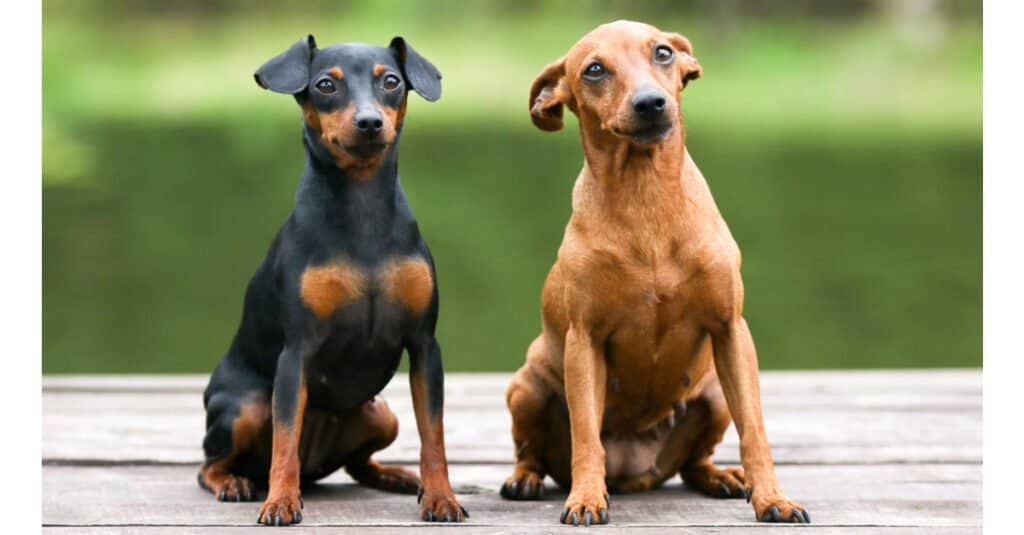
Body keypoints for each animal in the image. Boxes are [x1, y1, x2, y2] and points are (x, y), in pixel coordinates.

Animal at [196, 34, 468, 524]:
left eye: (391, 82)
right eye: (326, 85)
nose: (369, 122)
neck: (363, 210)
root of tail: (316, 466)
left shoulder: (424, 347)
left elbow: (433, 436)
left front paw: (441, 497)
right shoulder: (296, 354)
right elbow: (285, 440)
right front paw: (280, 502)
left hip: (381, 413)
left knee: (359, 464)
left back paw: (396, 476)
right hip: (245, 407)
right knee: (212, 463)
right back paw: (235, 482)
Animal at [499, 21, 811, 524]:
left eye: (663, 53)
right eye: (594, 70)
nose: (650, 102)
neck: (645, 194)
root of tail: (635, 472)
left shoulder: (730, 330)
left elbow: (755, 434)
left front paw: (773, 499)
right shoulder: (585, 342)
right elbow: (586, 438)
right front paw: (585, 498)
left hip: (715, 394)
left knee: (695, 462)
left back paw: (721, 477)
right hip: (526, 387)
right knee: (532, 452)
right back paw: (524, 479)